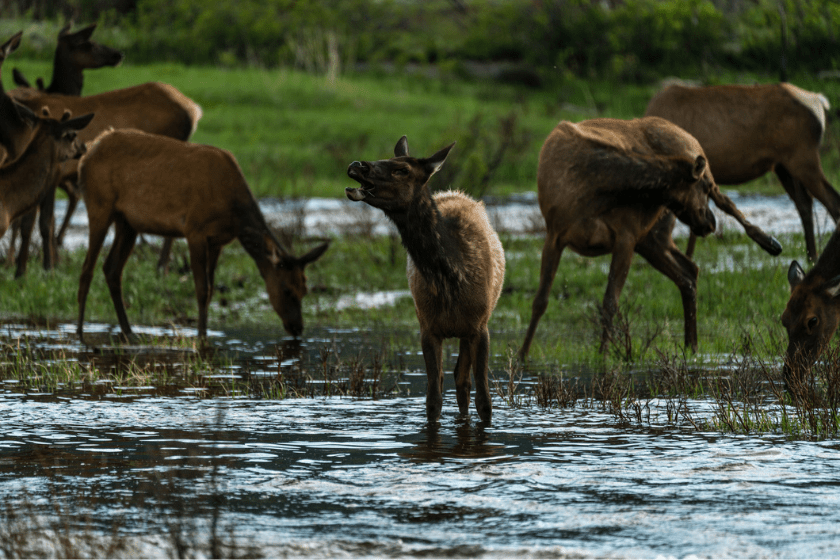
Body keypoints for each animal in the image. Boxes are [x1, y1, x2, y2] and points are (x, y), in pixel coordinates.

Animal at [76, 129, 329, 345]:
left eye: (304, 290)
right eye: (287, 290)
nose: (297, 328)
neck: (234, 214)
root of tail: (86, 156)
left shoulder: (217, 241)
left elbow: (211, 289)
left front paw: (206, 333)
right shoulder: (194, 230)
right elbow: (201, 289)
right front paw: (200, 336)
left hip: (127, 222)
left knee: (111, 269)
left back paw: (129, 331)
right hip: (99, 204)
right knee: (87, 268)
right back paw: (80, 334)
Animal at [346, 136, 506, 423]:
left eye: (402, 169)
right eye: (389, 159)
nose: (357, 165)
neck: (452, 279)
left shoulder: (480, 326)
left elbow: (485, 401)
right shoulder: (427, 328)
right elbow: (433, 399)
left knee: (463, 380)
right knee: (454, 378)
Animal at [519, 116, 730, 359]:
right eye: (704, 186)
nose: (711, 222)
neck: (593, 192)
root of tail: (693, 141)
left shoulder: (626, 237)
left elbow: (610, 301)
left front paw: (603, 354)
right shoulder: (554, 233)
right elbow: (540, 300)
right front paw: (522, 355)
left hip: (651, 234)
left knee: (688, 270)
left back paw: (691, 345)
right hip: (651, 240)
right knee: (688, 272)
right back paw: (691, 345)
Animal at [645, 82, 837, 262]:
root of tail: (819, 101)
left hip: (803, 157)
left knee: (831, 200)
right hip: (783, 165)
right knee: (804, 202)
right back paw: (811, 258)